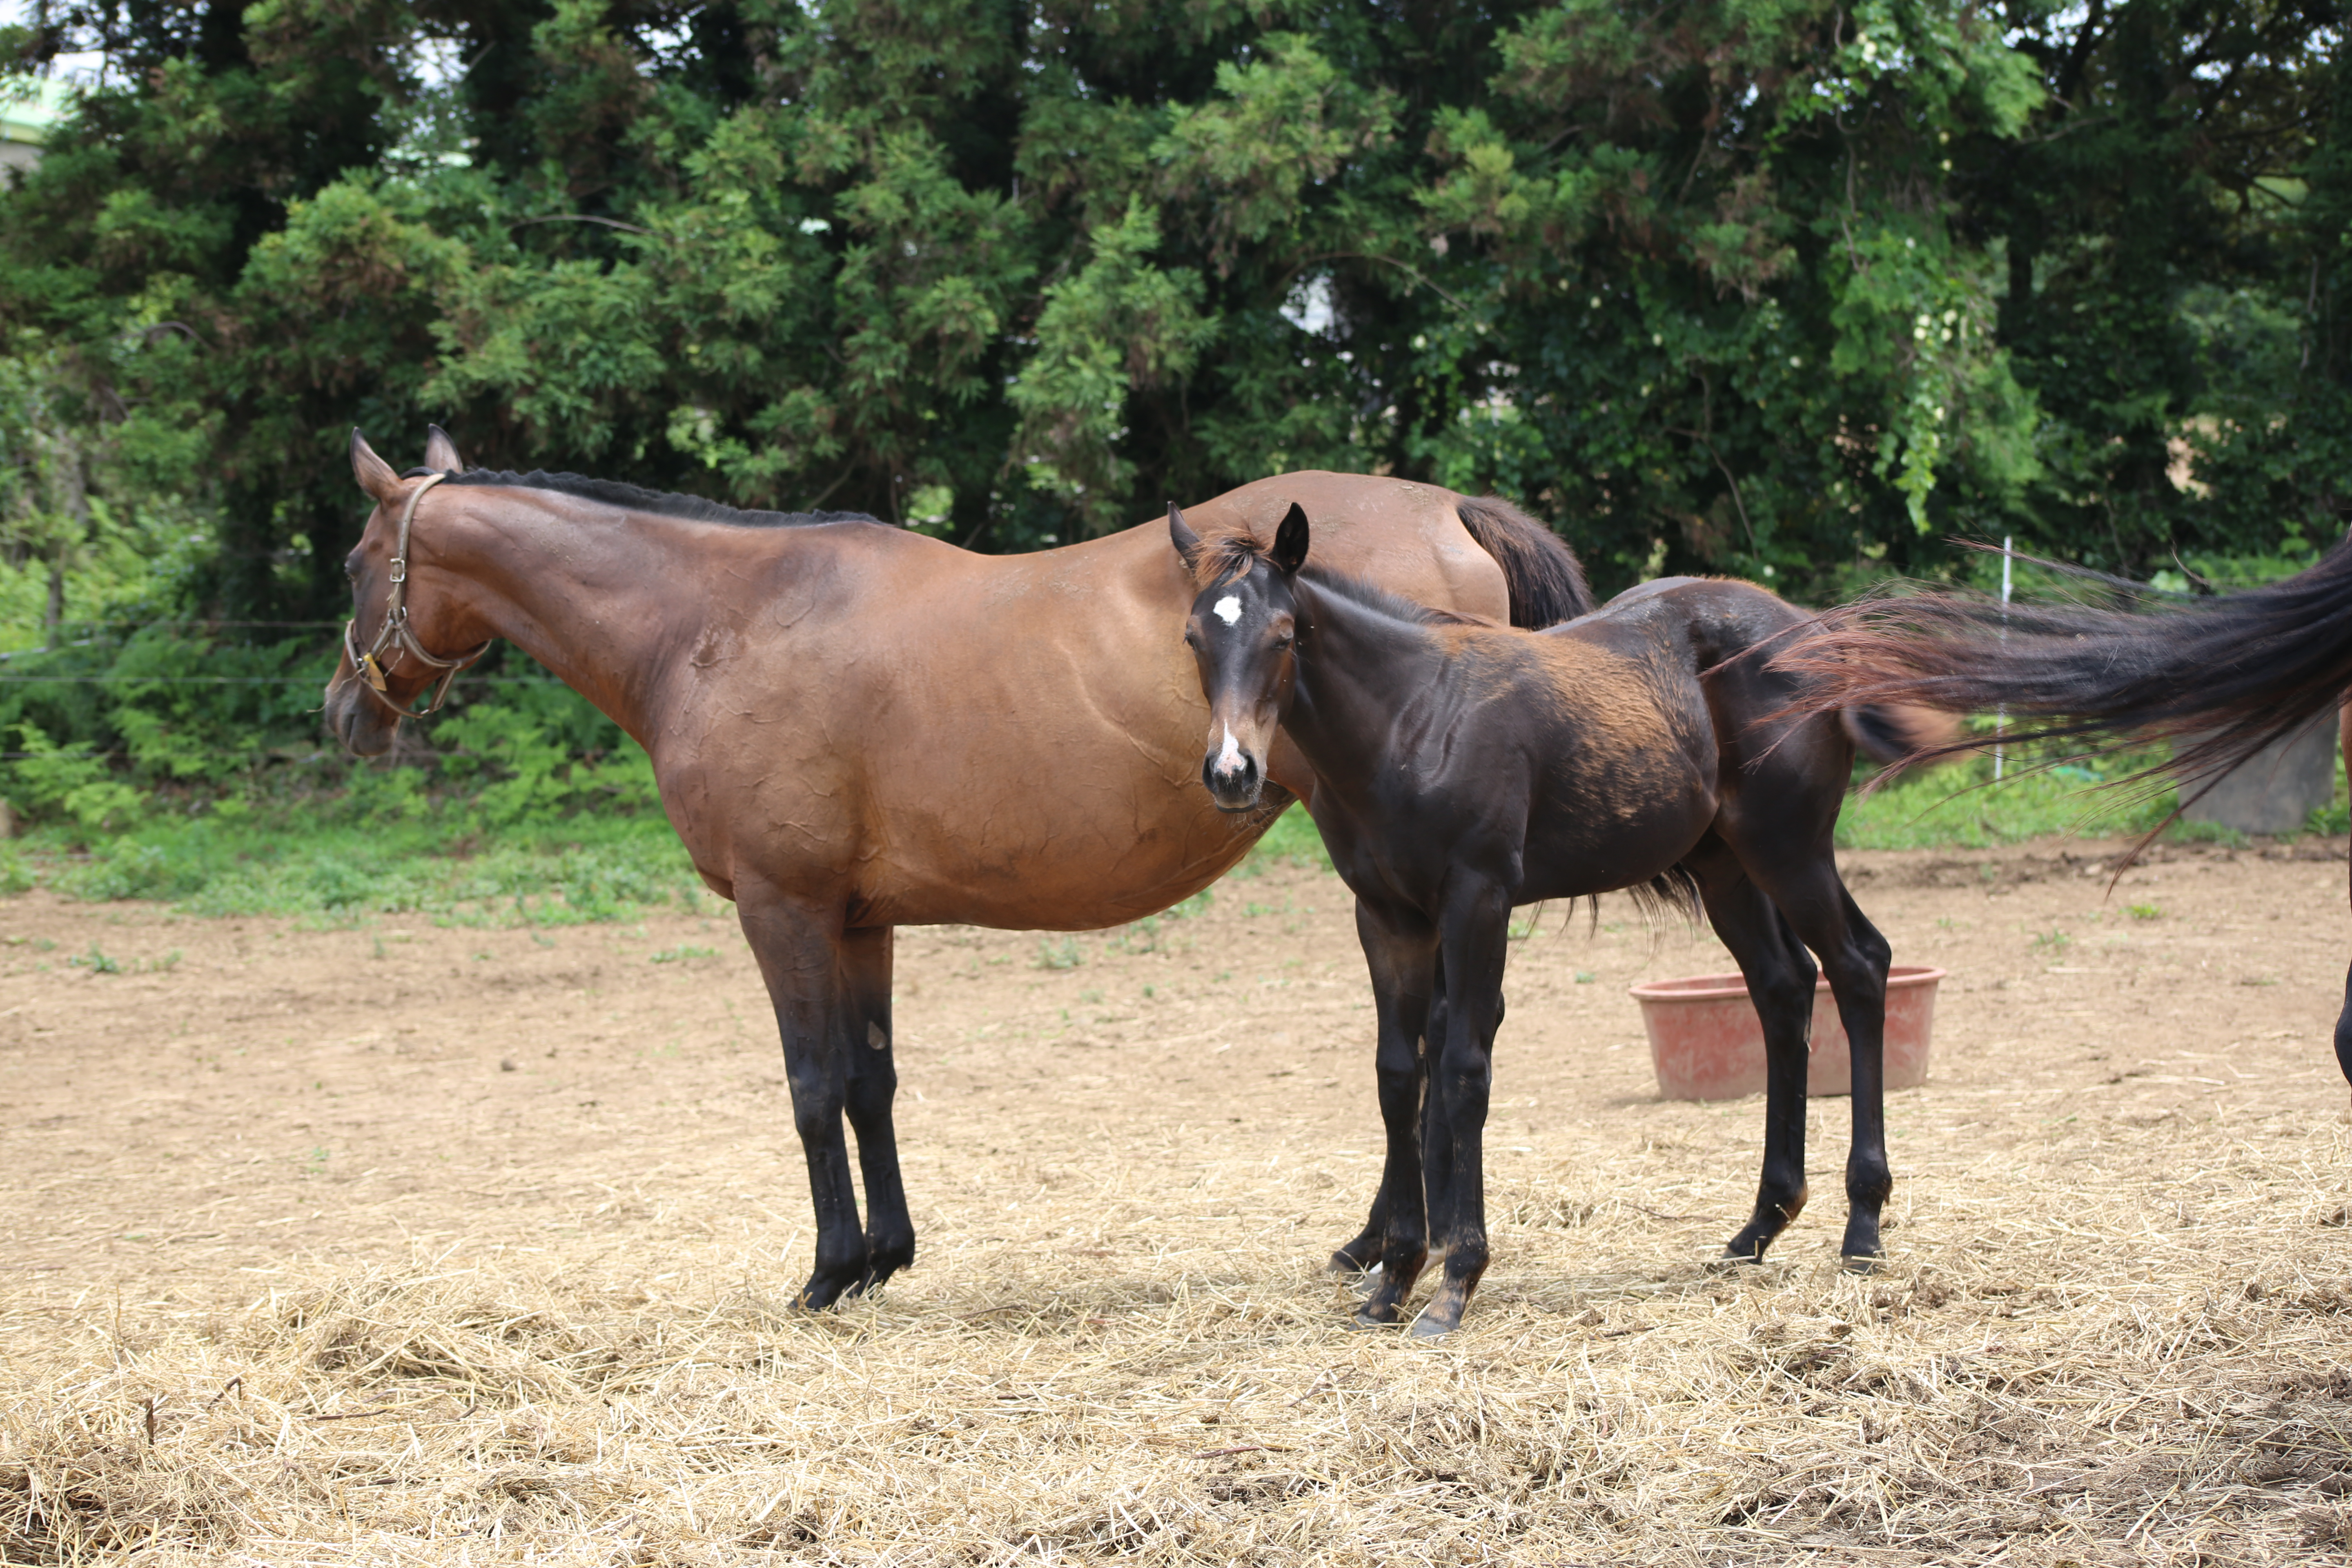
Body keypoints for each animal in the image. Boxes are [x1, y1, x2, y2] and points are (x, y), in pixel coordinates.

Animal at [322, 430, 1590, 1316]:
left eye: (355, 562)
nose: (343, 713)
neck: (721, 620)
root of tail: (1446, 508)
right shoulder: (855, 919)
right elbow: (871, 1081)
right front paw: (884, 1257)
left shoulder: (782, 911)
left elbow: (812, 1087)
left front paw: (827, 1271)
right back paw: (1377, 1245)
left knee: (1429, 1044)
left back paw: (1406, 1252)